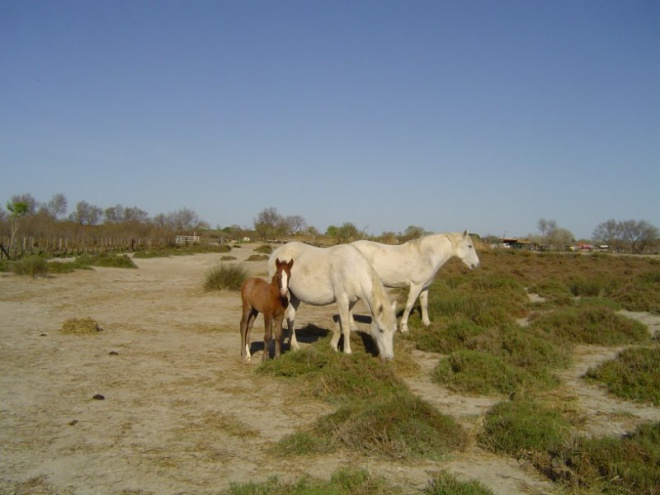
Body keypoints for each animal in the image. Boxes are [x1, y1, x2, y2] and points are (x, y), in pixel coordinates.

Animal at [266, 243, 398, 360]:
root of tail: (276, 253)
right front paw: (347, 351)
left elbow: (339, 324)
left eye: (394, 330)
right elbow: (345, 325)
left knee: (291, 316)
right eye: (381, 329)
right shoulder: (342, 299)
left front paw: (333, 347)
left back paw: (294, 346)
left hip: (295, 296)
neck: (353, 269)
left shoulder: (350, 302)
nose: (389, 358)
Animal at [350, 232, 480, 334]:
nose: (477, 264)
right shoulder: (416, 286)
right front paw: (404, 328)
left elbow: (424, 304)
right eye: (469, 246)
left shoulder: (425, 287)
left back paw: (353, 327)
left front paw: (427, 323)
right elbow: (409, 305)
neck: (427, 256)